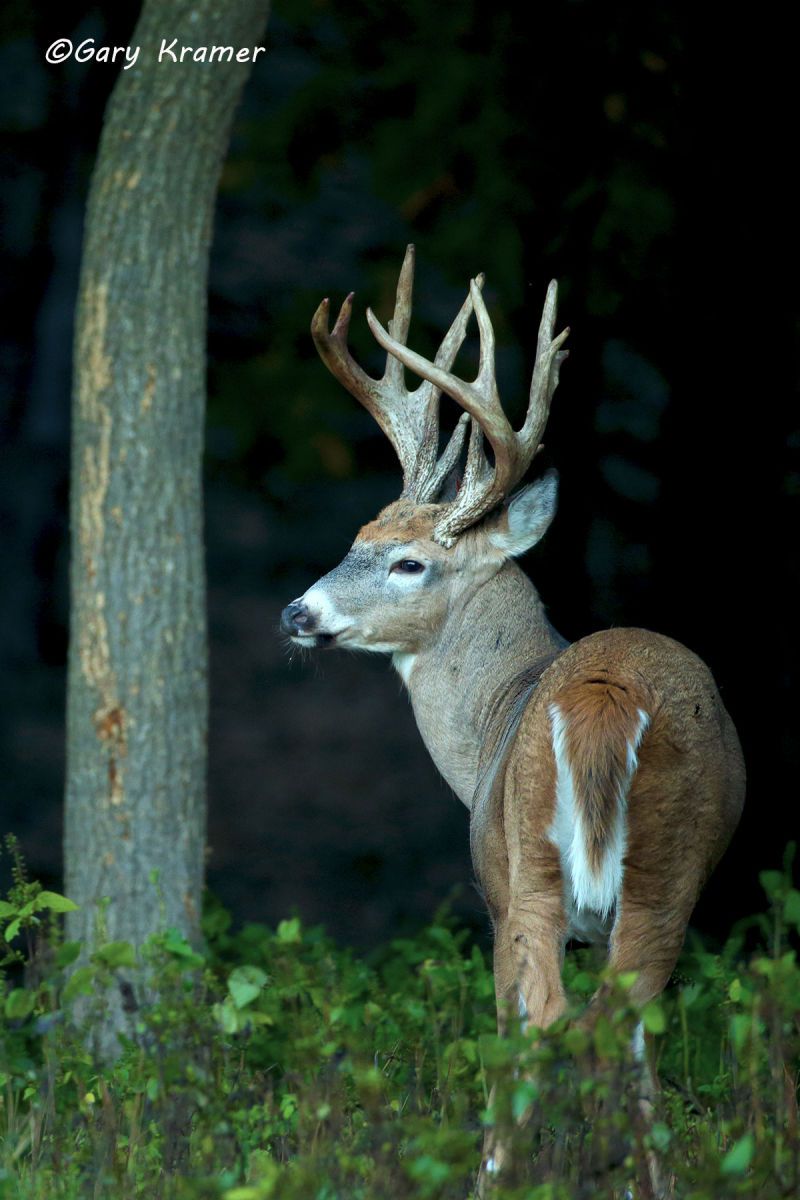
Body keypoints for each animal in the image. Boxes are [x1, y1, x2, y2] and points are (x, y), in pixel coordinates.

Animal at [280, 246, 746, 1191]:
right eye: (359, 534)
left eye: (409, 562)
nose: (297, 613)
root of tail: (602, 698)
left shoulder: (491, 893)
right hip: (665, 875)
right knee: (613, 1026)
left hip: (532, 867)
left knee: (549, 1027)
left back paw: (498, 1174)